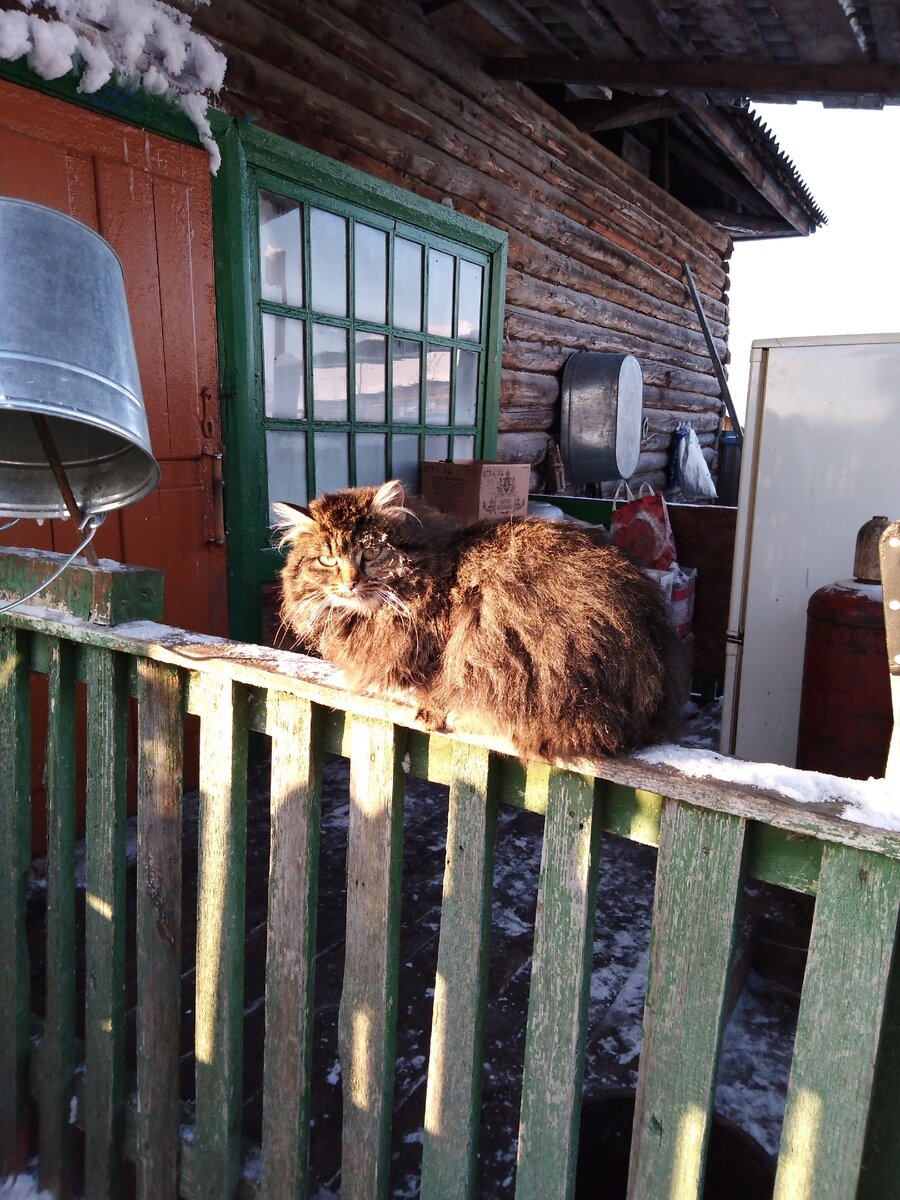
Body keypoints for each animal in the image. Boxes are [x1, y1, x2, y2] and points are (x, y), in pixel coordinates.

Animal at [274, 479, 686, 763]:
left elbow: (437, 684)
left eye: (372, 552)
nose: (350, 582)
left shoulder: (443, 650)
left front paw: (431, 710)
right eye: (327, 560)